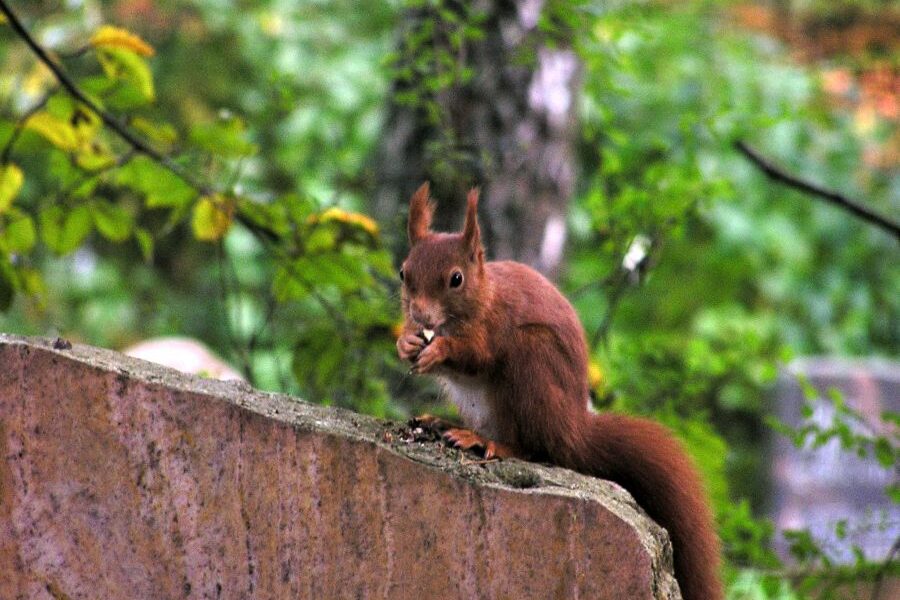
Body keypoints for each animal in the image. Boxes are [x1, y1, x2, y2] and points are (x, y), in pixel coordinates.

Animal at [396, 182, 723, 600]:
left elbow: (477, 355)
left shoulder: (497, 326)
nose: (420, 315)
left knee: (534, 447)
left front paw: (439, 349)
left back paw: (487, 442)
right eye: (403, 272)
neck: (482, 298)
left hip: (533, 363)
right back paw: (443, 423)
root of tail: (573, 429)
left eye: (456, 279)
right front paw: (406, 342)